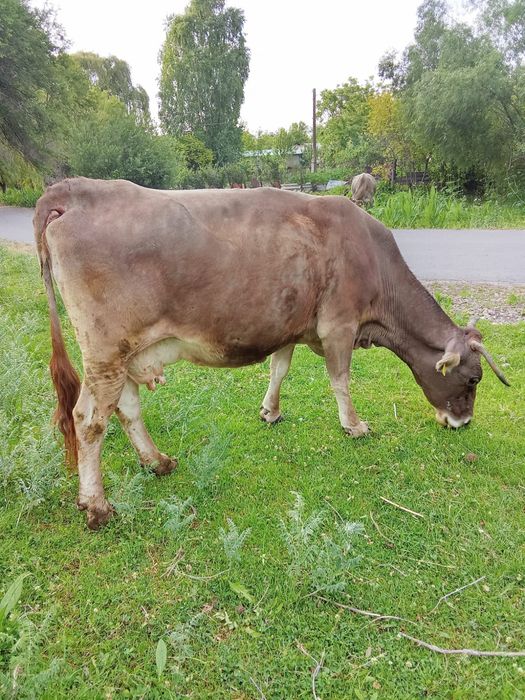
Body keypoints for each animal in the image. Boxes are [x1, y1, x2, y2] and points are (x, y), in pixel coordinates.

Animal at [34, 177, 509, 529]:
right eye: (472, 378)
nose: (463, 422)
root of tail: (72, 190)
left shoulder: (290, 325)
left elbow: (279, 368)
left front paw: (270, 411)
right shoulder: (339, 324)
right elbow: (340, 380)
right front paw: (354, 426)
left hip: (127, 354)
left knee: (126, 408)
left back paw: (157, 462)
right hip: (104, 351)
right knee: (89, 420)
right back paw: (97, 506)